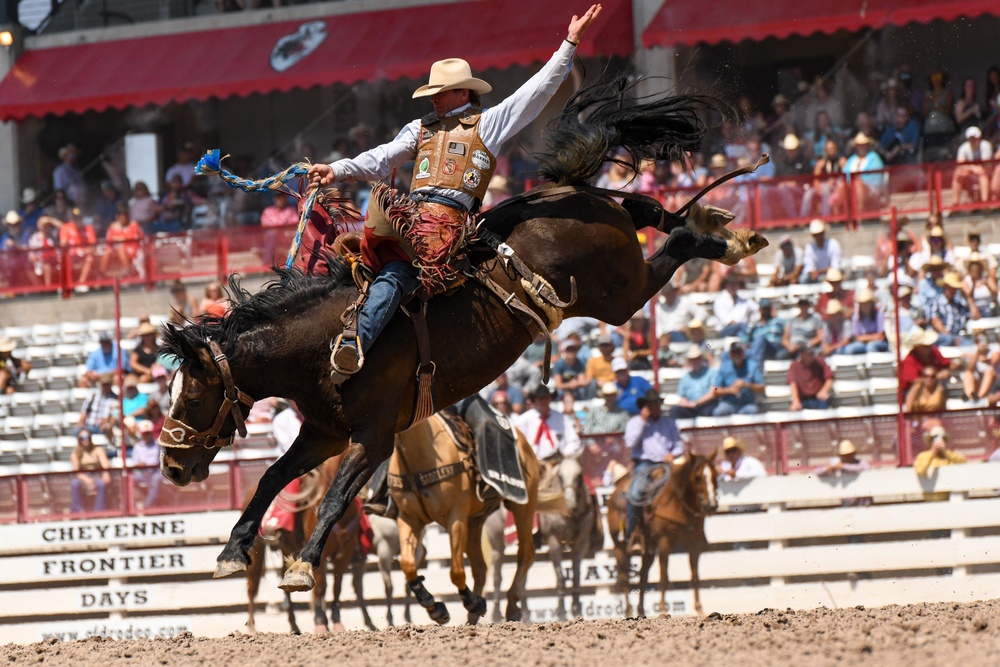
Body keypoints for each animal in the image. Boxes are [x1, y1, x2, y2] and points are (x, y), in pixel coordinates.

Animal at [158, 70, 764, 596]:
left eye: (193, 393)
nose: (171, 466)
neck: (325, 343)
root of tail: (577, 196)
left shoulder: (372, 436)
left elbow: (331, 499)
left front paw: (301, 567)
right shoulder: (323, 433)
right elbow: (270, 477)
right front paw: (232, 551)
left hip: (620, 294)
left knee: (671, 241)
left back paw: (725, 241)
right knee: (649, 211)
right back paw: (715, 224)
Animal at [244, 456, 370, 636]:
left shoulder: (345, 553)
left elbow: (336, 588)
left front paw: (337, 623)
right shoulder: (321, 555)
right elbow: (321, 588)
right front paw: (320, 623)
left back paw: (294, 626)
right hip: (257, 551)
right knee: (252, 586)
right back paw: (252, 628)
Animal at [388, 414, 564, 624]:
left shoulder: (456, 517)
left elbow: (456, 571)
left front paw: (472, 602)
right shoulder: (408, 518)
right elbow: (407, 564)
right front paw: (434, 607)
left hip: (523, 506)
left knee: (525, 553)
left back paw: (511, 607)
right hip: (475, 521)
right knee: (480, 567)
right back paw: (473, 616)